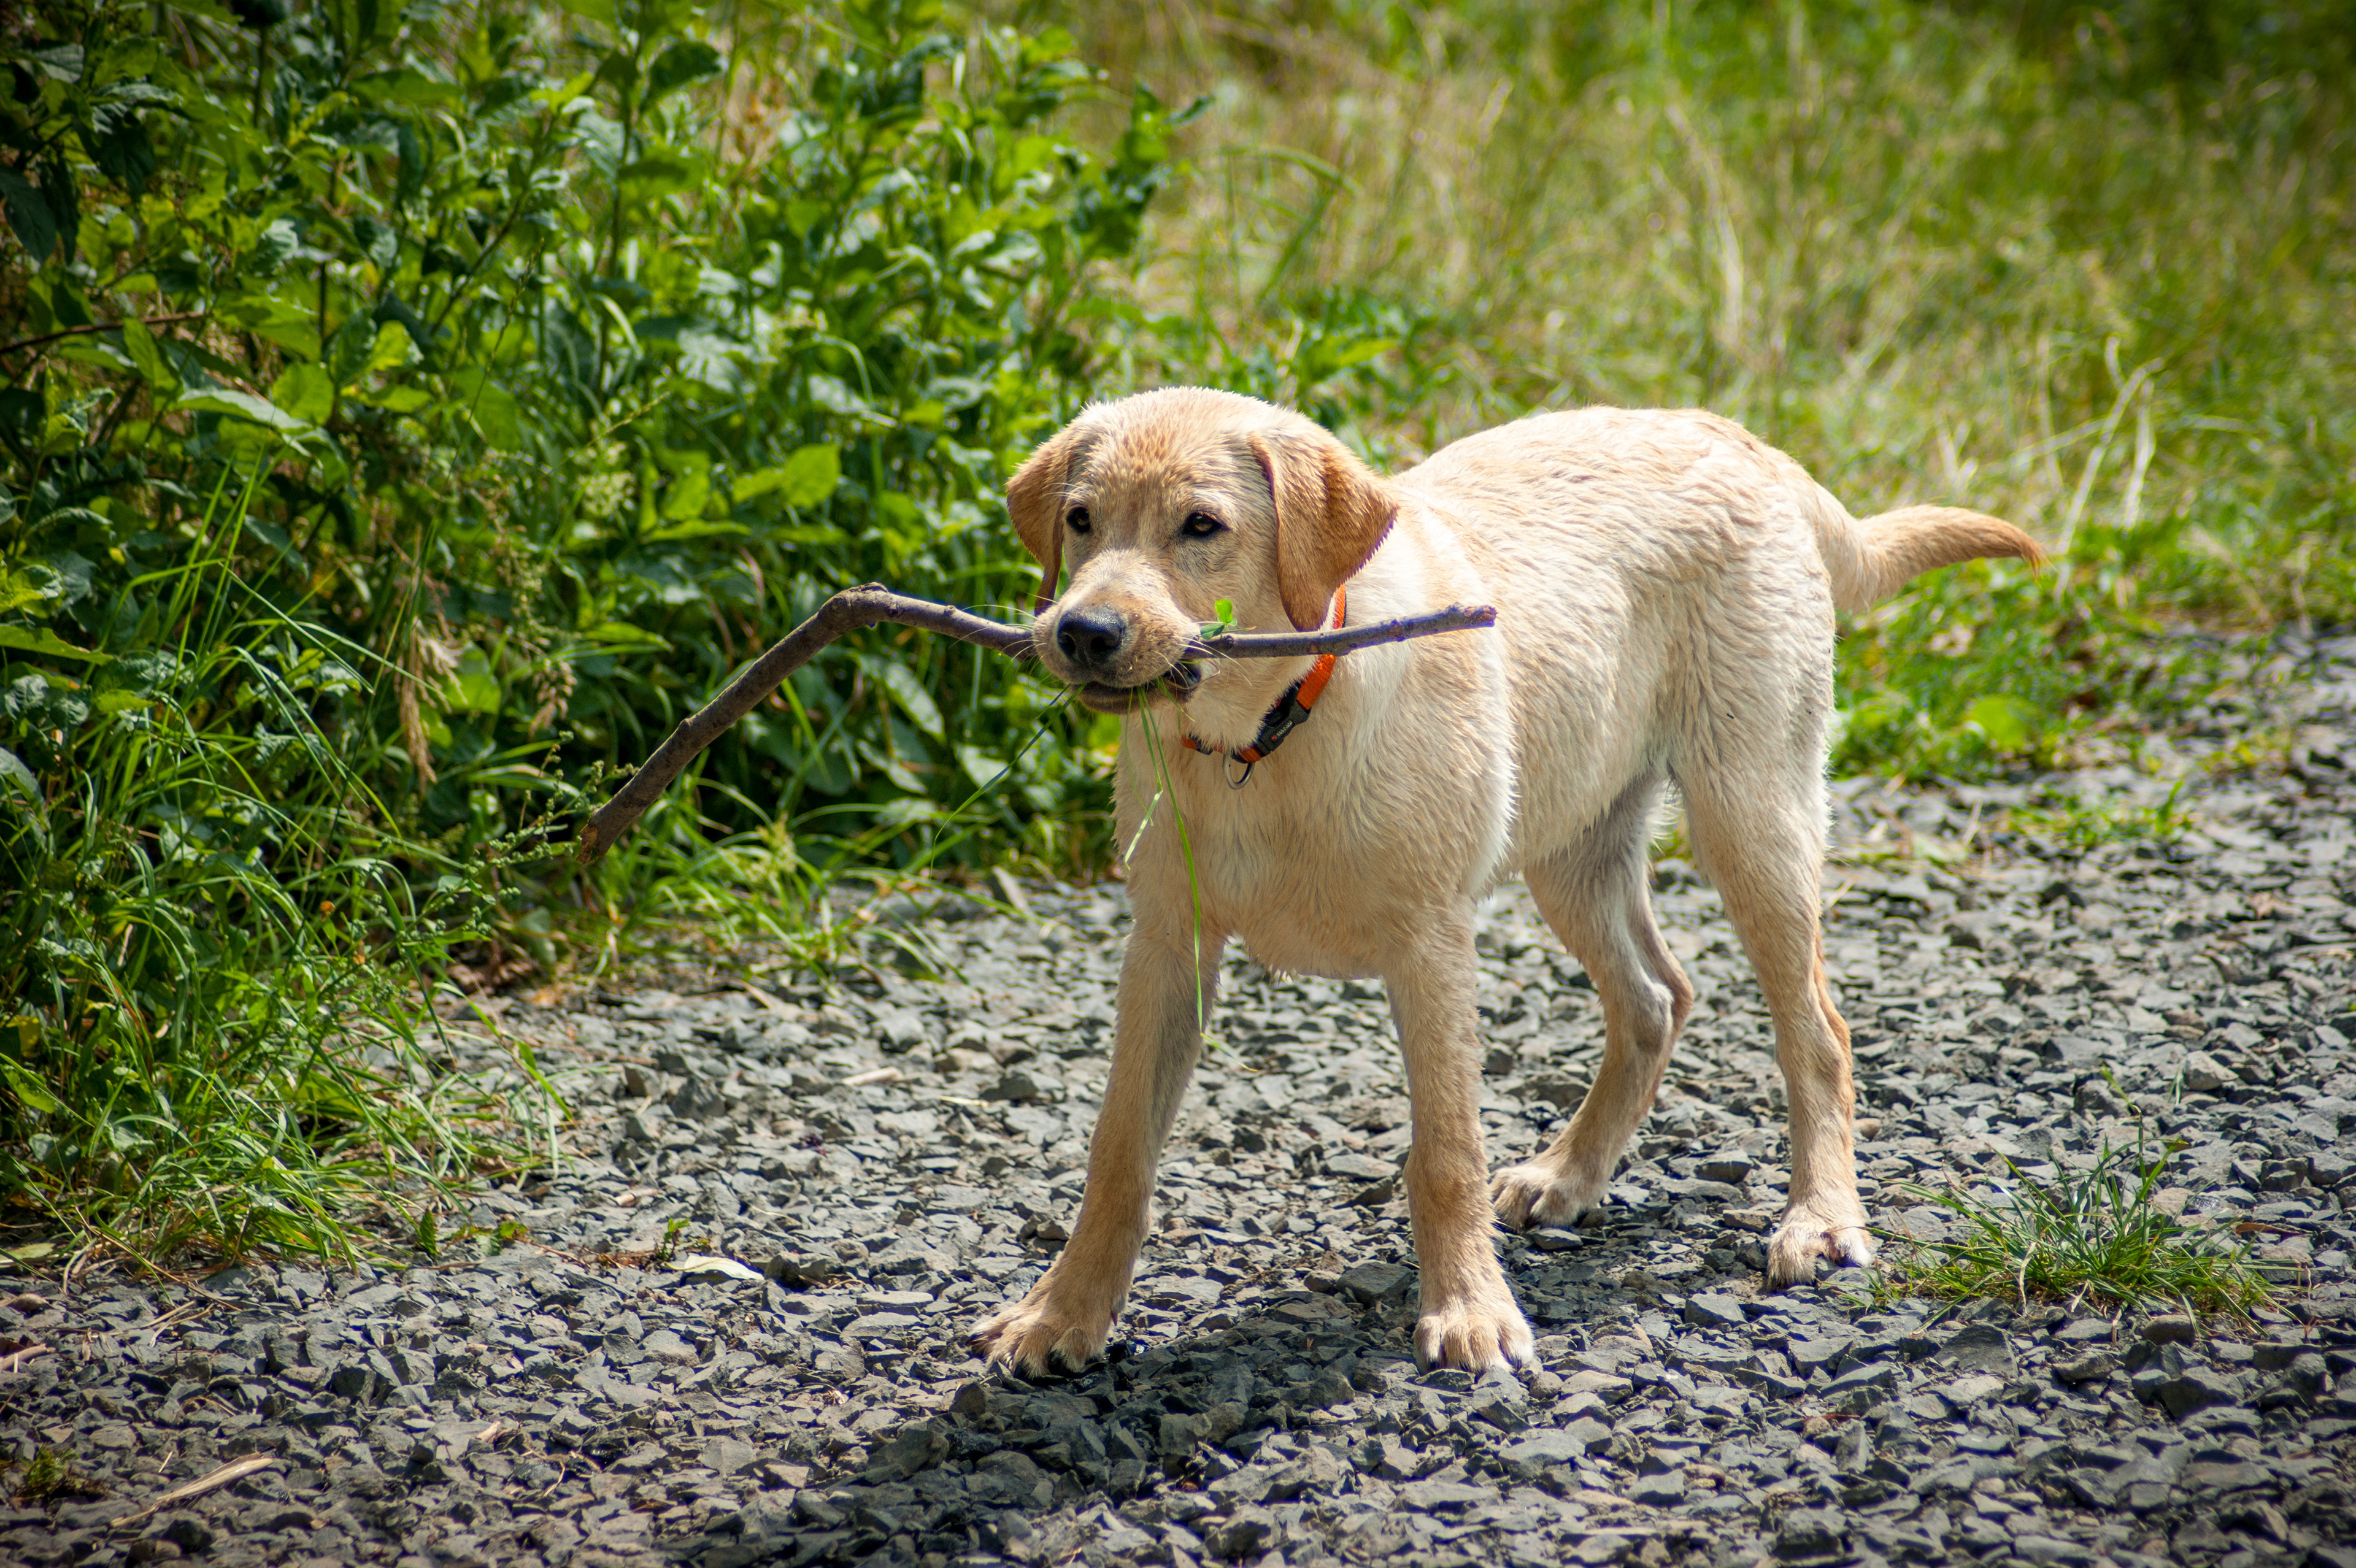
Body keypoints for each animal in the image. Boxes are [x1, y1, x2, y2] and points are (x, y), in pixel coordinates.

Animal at [971, 388, 2040, 1373]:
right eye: (1080, 519)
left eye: (1202, 527)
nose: (1084, 631)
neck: (1267, 733)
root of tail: (1733, 433)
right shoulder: (1166, 944)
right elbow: (1118, 1153)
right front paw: (1062, 1315)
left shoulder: (1431, 945)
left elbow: (1444, 1155)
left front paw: (1469, 1314)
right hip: (1570, 846)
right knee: (1657, 996)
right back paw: (1571, 1174)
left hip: (1752, 815)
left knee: (1817, 1032)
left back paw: (1819, 1218)